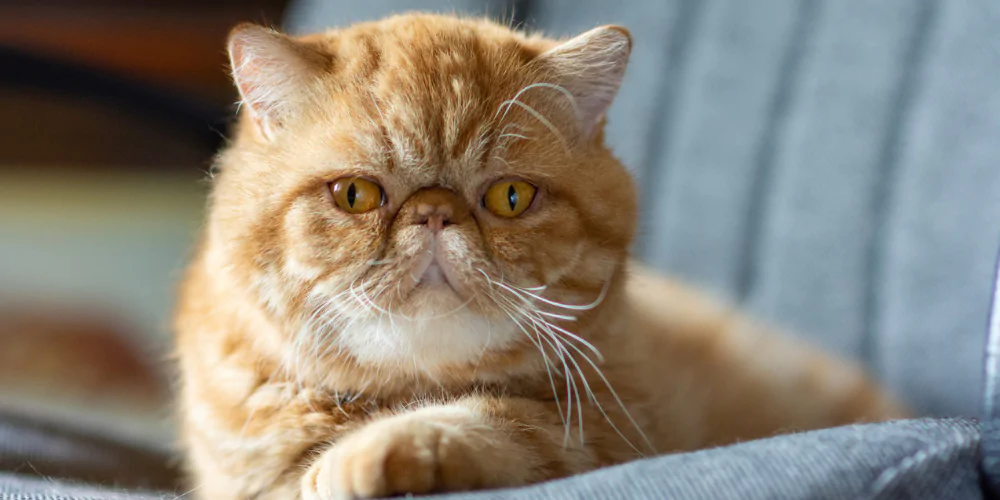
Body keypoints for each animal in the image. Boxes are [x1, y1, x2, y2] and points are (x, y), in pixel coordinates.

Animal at [174, 12, 908, 500]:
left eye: (510, 197)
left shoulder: (605, 437)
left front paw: (368, 453)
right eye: (355, 195)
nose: (435, 213)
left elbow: (498, 420)